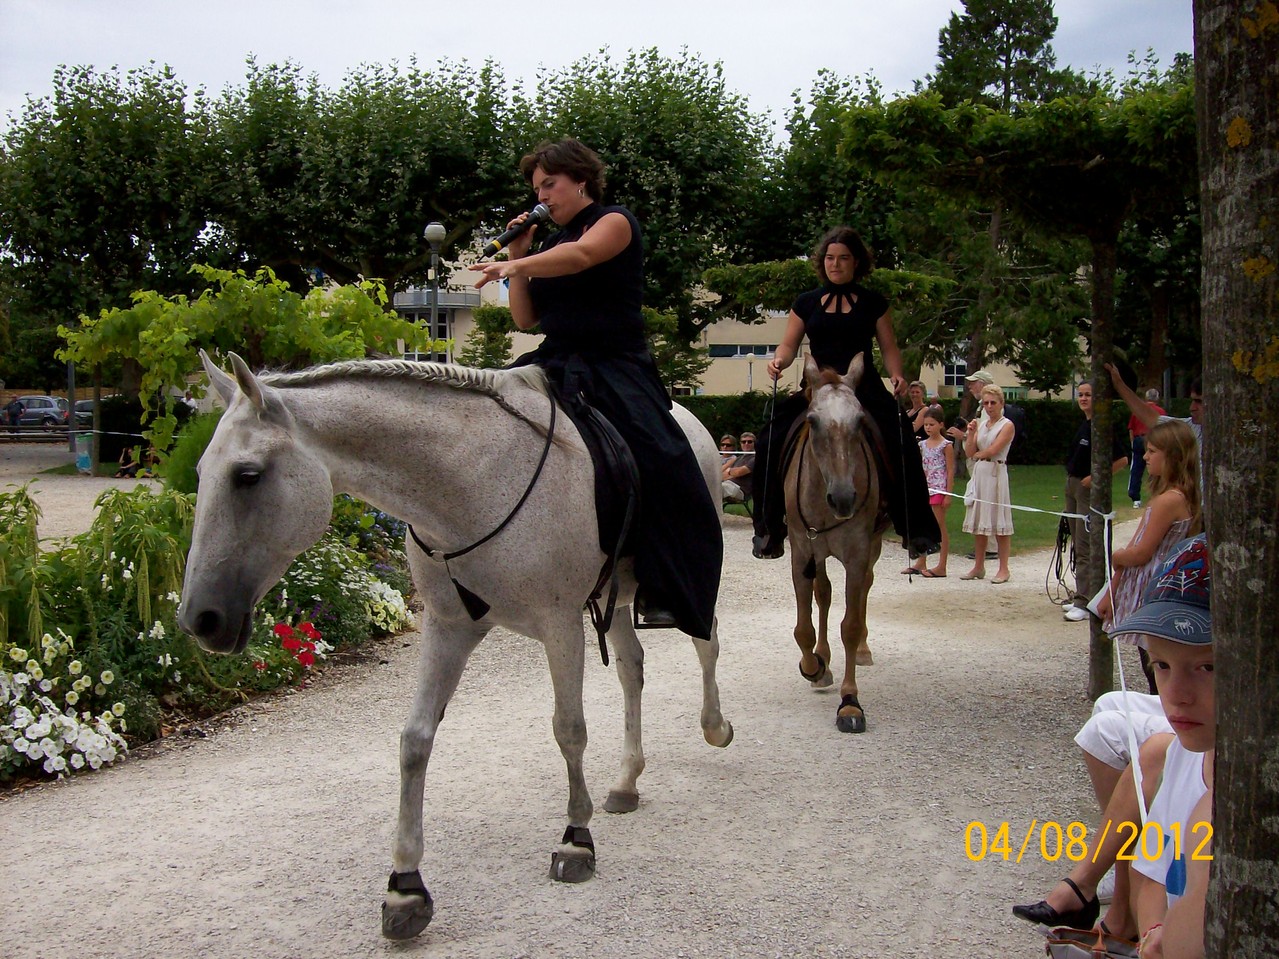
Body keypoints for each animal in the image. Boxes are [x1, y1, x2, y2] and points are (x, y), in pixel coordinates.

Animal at [176, 352, 736, 941]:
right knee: (632, 666)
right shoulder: (448, 629)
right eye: (202, 474)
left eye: (247, 476)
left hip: (682, 584)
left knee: (707, 643)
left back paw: (715, 726)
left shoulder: (560, 626)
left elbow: (569, 731)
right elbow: (415, 741)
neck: (474, 482)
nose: (200, 618)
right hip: (614, 598)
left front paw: (575, 840)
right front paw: (405, 887)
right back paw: (627, 780)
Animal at [777, 352, 890, 736]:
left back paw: (863, 652)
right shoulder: (802, 550)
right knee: (823, 592)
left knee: (866, 587)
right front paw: (814, 666)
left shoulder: (857, 552)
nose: (843, 498)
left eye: (859, 420)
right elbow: (803, 627)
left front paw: (850, 702)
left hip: (872, 546)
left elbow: (850, 626)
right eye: (813, 421)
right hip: (819, 553)